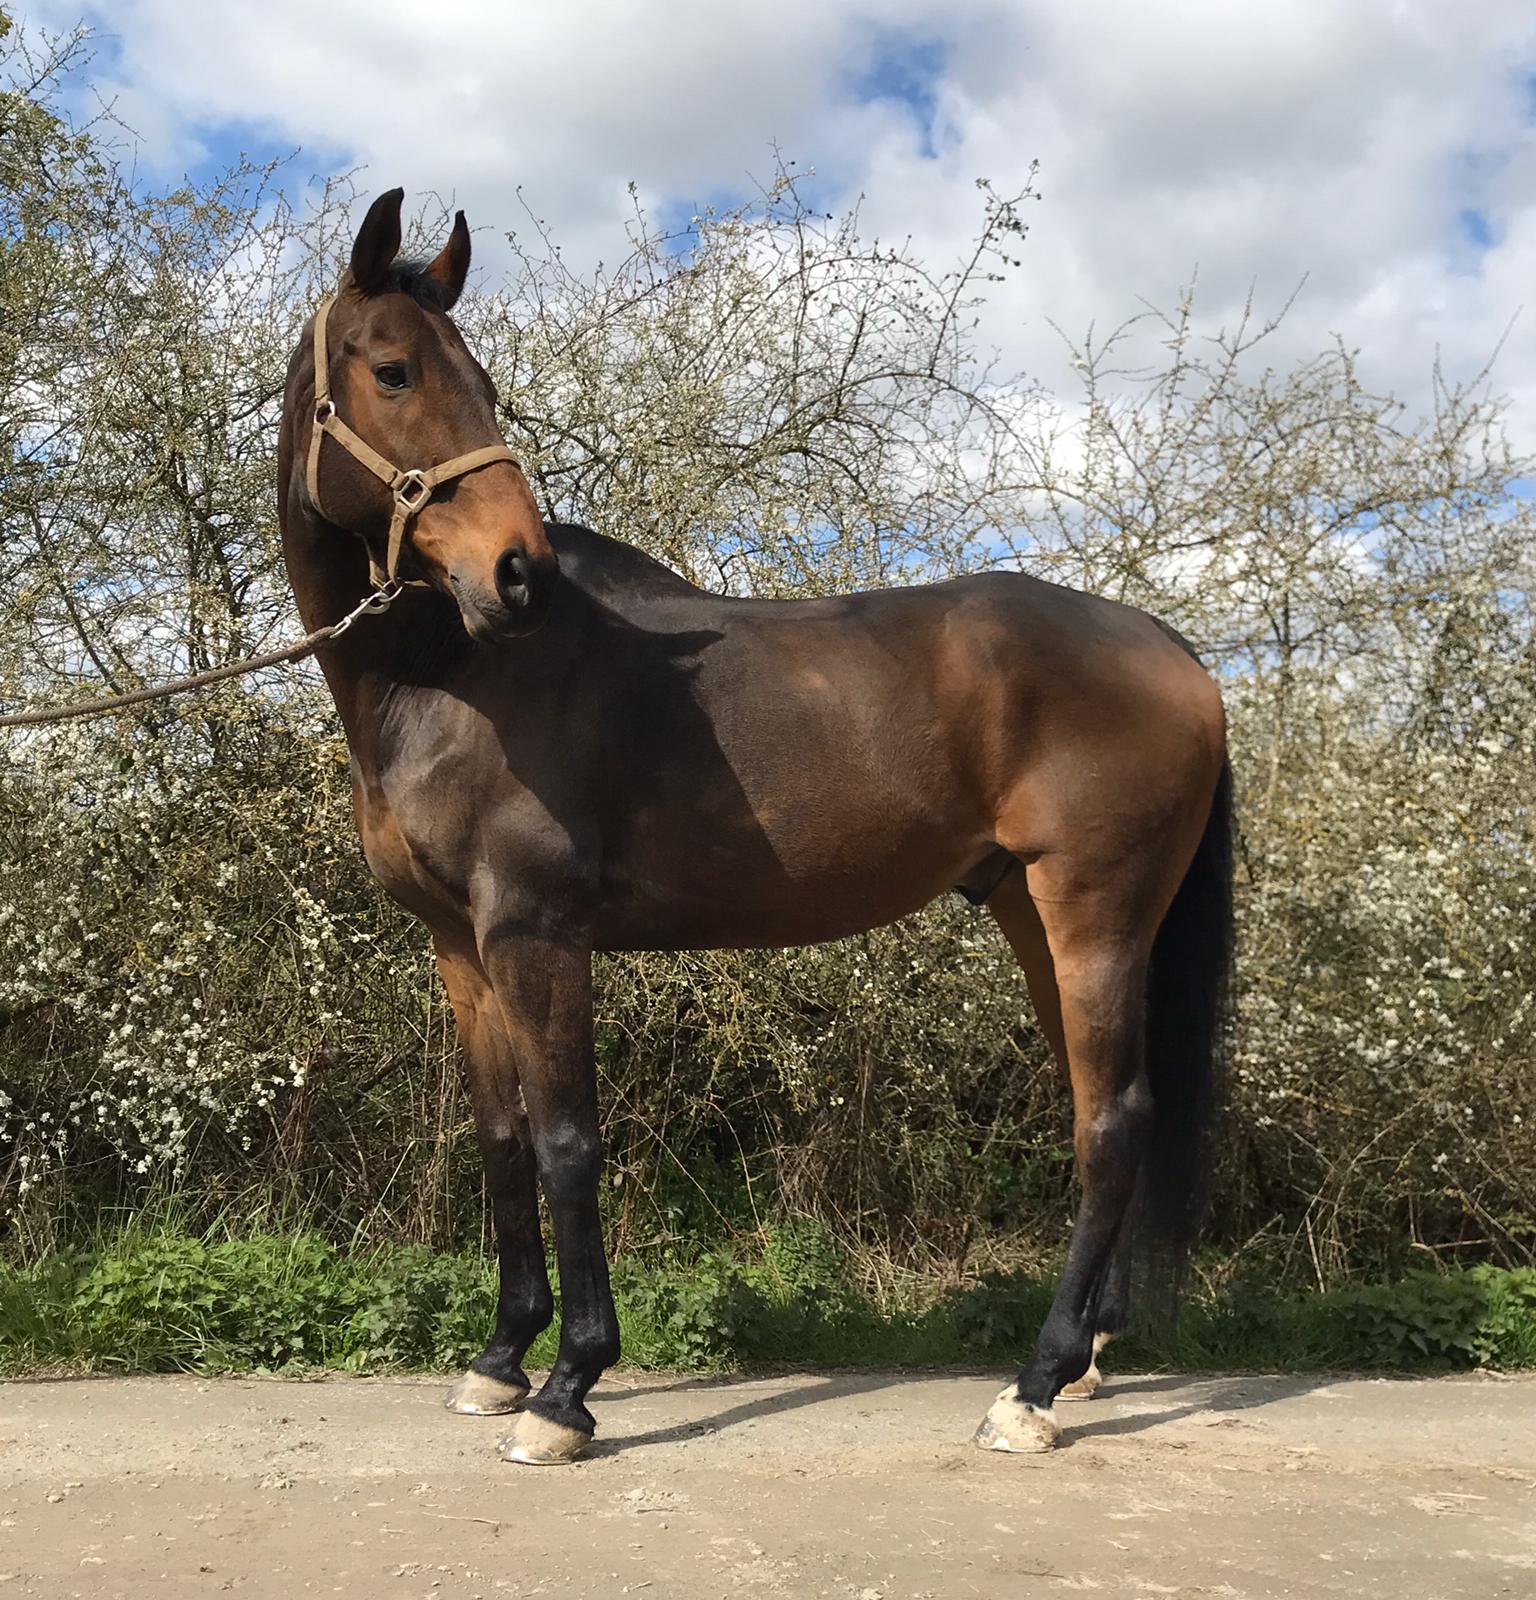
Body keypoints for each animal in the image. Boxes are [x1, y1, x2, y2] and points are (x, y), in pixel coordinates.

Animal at [278, 187, 1235, 1465]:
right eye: (392, 370)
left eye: (474, 378)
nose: (517, 573)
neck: (451, 674)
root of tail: (1171, 650)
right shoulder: (460, 949)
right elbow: (502, 1140)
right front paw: (499, 1357)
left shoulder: (538, 934)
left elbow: (568, 1141)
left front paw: (567, 1388)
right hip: (1036, 916)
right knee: (1110, 1111)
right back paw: (1079, 1362)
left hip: (1096, 917)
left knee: (1112, 1126)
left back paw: (1030, 1389)